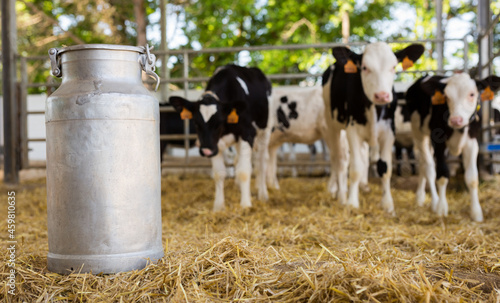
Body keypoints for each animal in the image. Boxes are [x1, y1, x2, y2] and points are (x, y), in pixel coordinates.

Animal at [170, 64, 272, 211]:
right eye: (196, 123)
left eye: (218, 123)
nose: (206, 150)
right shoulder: (215, 144)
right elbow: (219, 173)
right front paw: (218, 206)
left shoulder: (247, 133)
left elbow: (244, 171)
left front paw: (246, 204)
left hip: (265, 130)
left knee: (261, 163)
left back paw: (263, 194)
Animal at [322, 42, 424, 214]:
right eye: (364, 67)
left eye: (393, 67)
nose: (382, 95)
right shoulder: (352, 130)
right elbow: (355, 168)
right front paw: (352, 202)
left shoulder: (389, 132)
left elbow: (385, 168)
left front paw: (388, 204)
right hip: (332, 125)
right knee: (338, 159)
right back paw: (339, 193)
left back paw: (362, 186)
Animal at [406, 73, 500, 221]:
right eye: (446, 97)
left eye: (472, 94)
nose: (456, 120)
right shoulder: (439, 143)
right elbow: (442, 174)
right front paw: (441, 208)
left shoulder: (472, 143)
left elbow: (472, 178)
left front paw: (476, 213)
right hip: (418, 132)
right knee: (428, 167)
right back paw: (433, 201)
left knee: (423, 164)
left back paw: (420, 197)